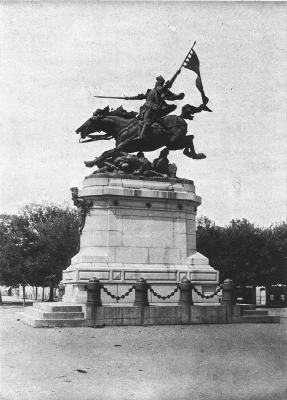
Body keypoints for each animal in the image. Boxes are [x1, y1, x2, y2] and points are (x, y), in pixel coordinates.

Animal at [76, 104, 207, 167]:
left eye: (91, 120)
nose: (78, 130)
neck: (121, 127)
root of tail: (180, 117)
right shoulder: (124, 148)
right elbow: (107, 152)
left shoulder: (125, 146)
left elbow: (108, 153)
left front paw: (90, 163)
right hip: (173, 143)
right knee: (190, 138)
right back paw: (195, 154)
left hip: (173, 142)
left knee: (190, 138)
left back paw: (194, 154)